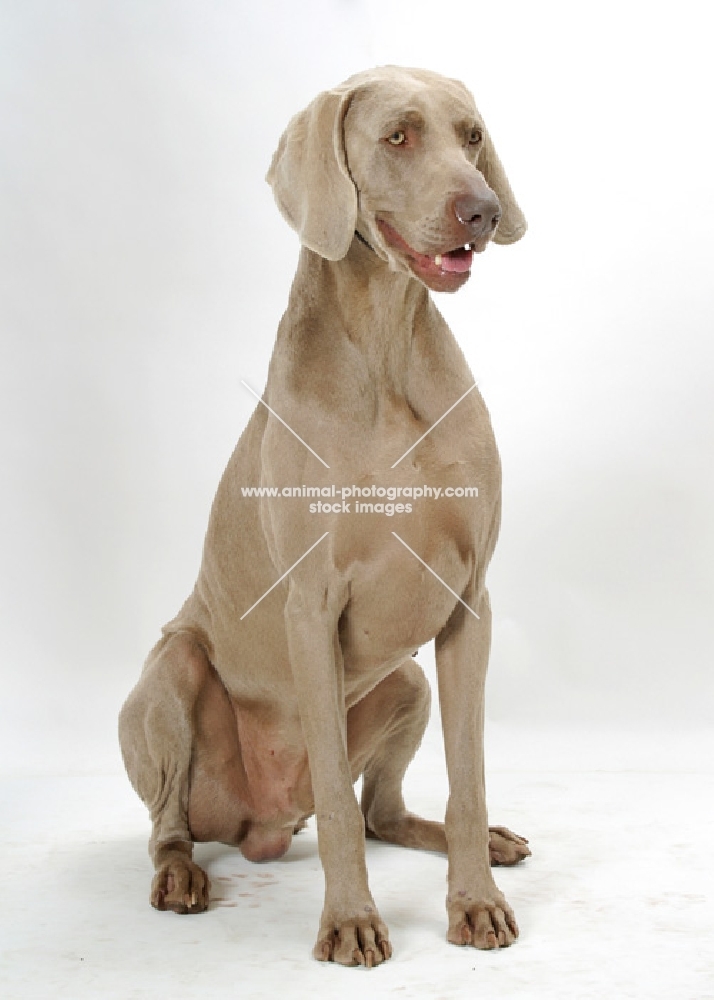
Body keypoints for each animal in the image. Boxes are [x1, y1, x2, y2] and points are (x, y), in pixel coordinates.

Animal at [118, 64, 528, 968]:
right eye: (399, 136)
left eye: (473, 135)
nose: (481, 210)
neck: (385, 346)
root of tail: (263, 825)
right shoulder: (310, 606)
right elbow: (340, 809)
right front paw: (349, 921)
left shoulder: (470, 603)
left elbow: (469, 777)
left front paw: (476, 901)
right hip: (171, 671)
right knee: (171, 824)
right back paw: (180, 876)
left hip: (406, 678)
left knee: (384, 810)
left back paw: (479, 843)